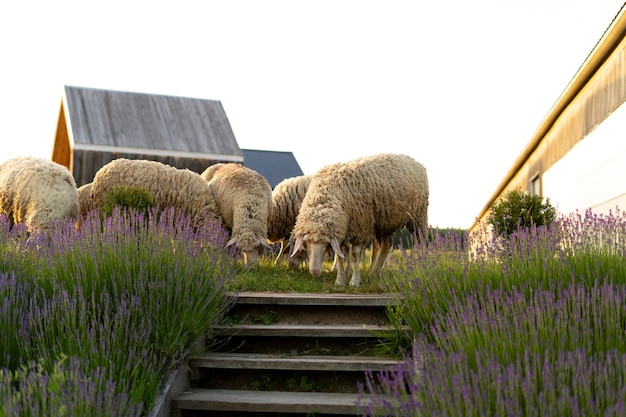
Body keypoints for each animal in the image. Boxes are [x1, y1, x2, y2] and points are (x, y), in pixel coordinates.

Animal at [290, 153, 426, 286]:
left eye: (325, 245)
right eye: (307, 245)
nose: (314, 272)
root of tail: (414, 161)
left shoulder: (360, 228)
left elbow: (355, 255)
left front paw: (354, 281)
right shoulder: (341, 231)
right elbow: (340, 257)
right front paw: (340, 280)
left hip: (418, 216)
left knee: (421, 240)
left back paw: (422, 266)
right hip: (386, 222)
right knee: (386, 246)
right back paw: (374, 272)